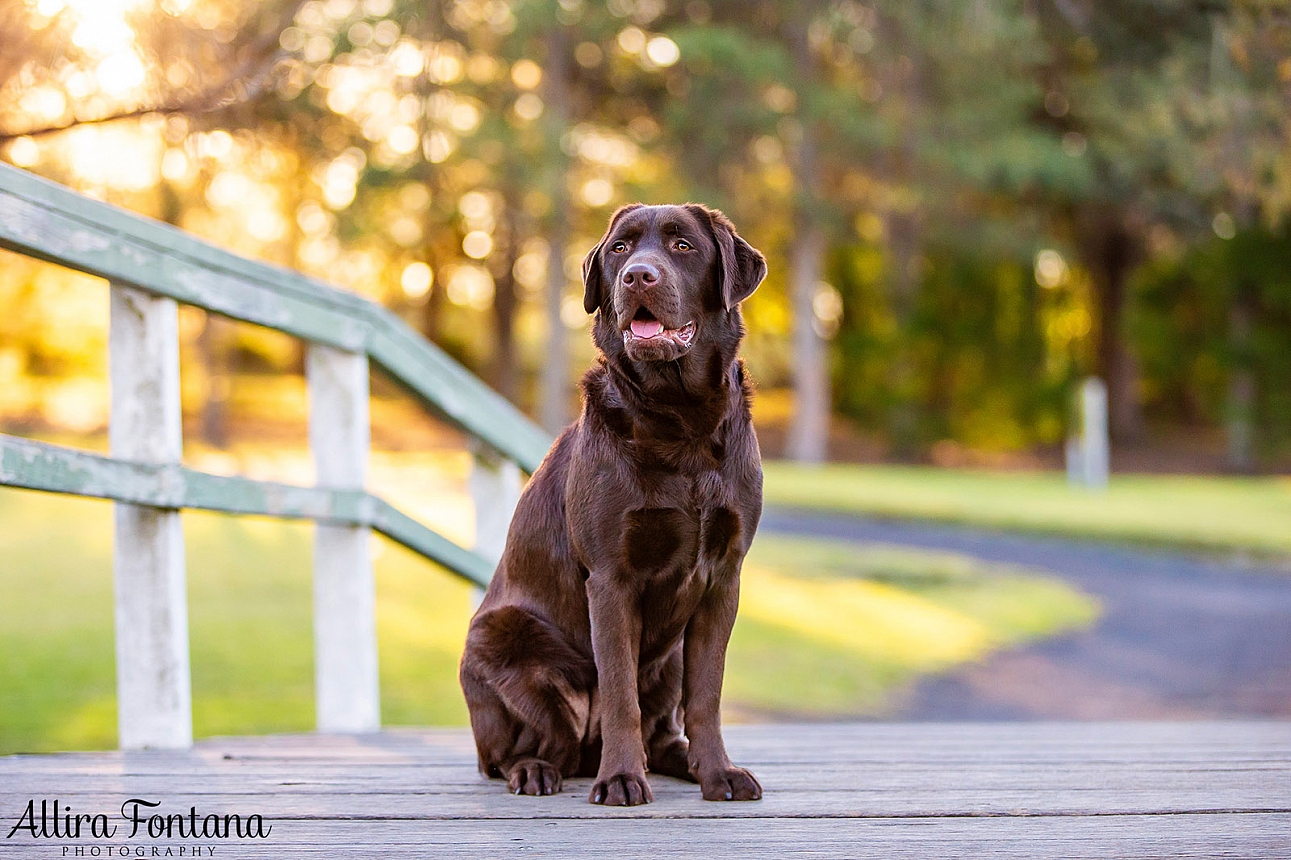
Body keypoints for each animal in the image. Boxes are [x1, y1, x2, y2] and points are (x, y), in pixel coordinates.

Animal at [459, 202, 759, 805]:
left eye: (684, 246)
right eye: (620, 248)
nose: (638, 277)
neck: (680, 422)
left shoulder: (724, 577)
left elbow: (707, 696)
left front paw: (719, 773)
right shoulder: (611, 578)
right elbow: (620, 691)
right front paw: (622, 778)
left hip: (668, 659)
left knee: (664, 727)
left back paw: (685, 761)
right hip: (500, 642)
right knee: (520, 752)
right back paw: (538, 770)